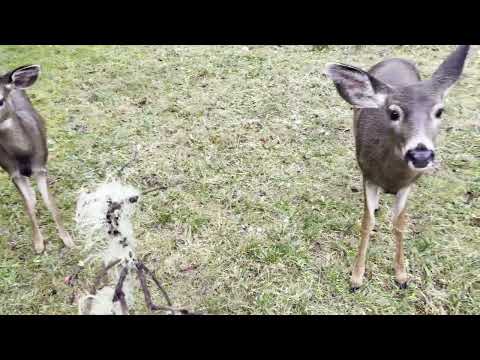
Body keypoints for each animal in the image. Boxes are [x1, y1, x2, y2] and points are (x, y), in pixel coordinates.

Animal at [0, 64, 74, 255]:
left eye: (1, 100)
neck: (23, 155)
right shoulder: (13, 173)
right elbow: (28, 206)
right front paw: (39, 244)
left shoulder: (40, 167)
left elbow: (50, 203)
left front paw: (67, 239)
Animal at [324, 46, 470, 292]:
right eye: (394, 113)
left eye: (439, 111)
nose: (420, 154)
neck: (390, 177)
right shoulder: (368, 176)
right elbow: (367, 224)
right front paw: (356, 278)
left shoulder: (408, 185)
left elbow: (399, 224)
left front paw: (401, 276)